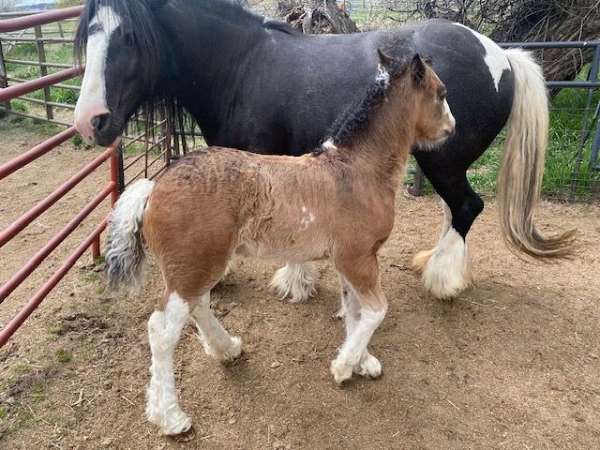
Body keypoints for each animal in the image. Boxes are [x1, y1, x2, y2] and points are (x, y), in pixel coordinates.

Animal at [72, 0, 576, 302]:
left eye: (130, 38)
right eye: (88, 38)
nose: (89, 121)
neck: (243, 66)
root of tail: (502, 54)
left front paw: (290, 281)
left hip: (443, 160)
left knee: (467, 206)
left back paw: (442, 279)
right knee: (454, 210)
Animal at [105, 51, 454, 434]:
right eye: (441, 93)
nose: (451, 128)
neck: (358, 170)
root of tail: (154, 188)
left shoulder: (351, 260)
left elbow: (354, 309)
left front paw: (362, 361)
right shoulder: (357, 258)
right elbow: (376, 310)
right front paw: (343, 367)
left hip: (199, 265)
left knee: (198, 306)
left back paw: (227, 348)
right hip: (192, 267)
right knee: (163, 330)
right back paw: (170, 416)